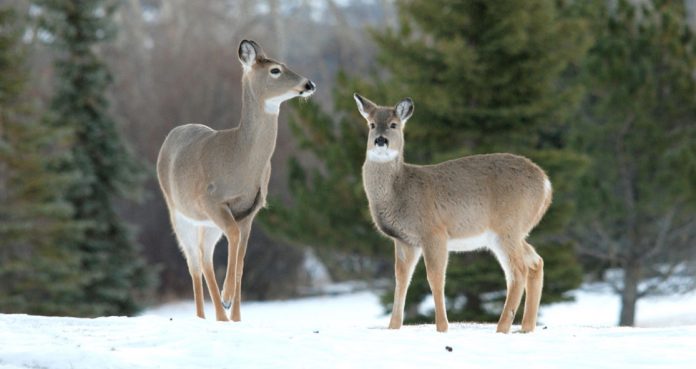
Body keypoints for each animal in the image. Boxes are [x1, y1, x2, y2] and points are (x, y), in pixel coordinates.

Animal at [157, 40, 316, 320]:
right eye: (275, 70)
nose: (309, 84)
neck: (240, 159)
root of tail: (172, 135)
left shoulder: (250, 211)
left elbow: (241, 262)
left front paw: (236, 315)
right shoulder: (211, 201)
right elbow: (231, 237)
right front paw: (227, 296)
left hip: (206, 224)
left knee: (205, 257)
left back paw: (220, 317)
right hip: (180, 213)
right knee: (194, 261)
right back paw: (205, 315)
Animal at [356, 93, 552, 332]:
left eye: (394, 124)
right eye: (372, 124)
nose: (380, 140)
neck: (399, 190)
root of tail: (546, 184)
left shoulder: (434, 231)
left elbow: (435, 278)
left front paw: (442, 326)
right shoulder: (405, 241)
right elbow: (401, 279)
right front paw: (393, 327)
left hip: (507, 227)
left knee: (518, 271)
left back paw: (502, 328)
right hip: (511, 232)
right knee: (536, 262)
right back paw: (525, 328)